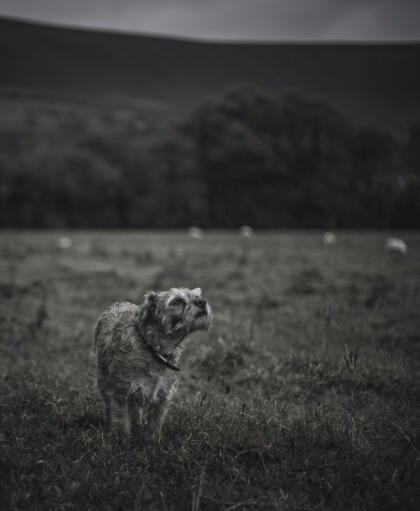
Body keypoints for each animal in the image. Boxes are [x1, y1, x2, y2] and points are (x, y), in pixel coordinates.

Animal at [94, 286, 212, 438]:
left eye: (196, 296)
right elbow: (122, 424)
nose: (202, 302)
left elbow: (154, 426)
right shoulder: (120, 393)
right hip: (104, 381)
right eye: (176, 301)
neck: (153, 349)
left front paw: (154, 441)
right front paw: (122, 440)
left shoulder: (163, 396)